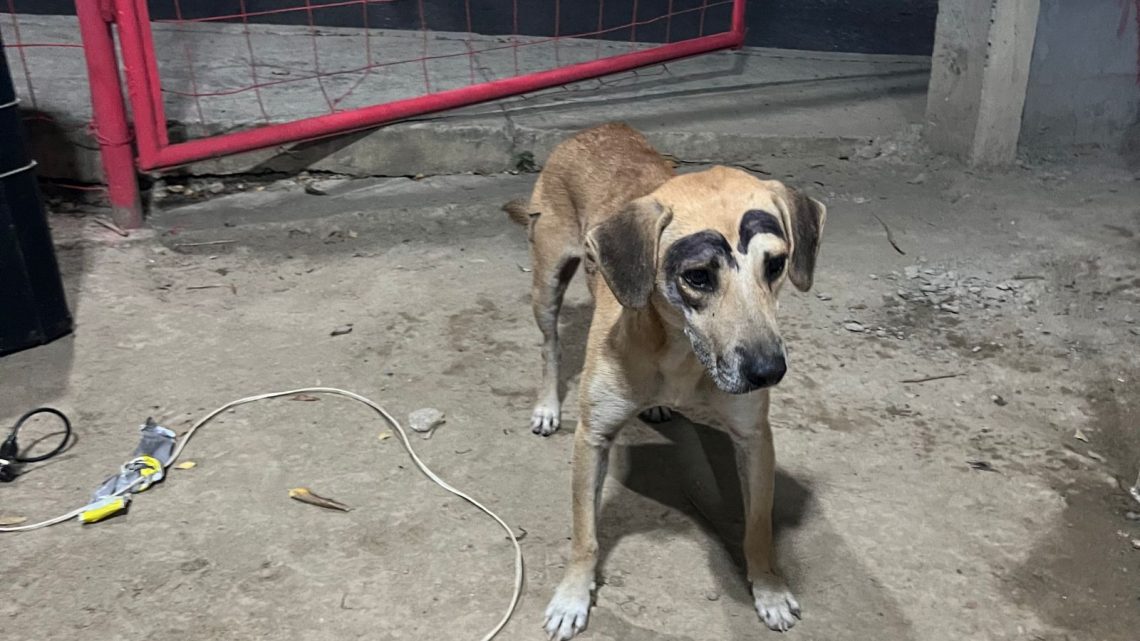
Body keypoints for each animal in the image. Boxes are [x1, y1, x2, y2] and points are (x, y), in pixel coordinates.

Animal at [503, 122, 825, 634]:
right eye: (697, 276)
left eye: (775, 265)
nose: (768, 371)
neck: (681, 354)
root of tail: (598, 128)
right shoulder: (592, 438)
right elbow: (585, 534)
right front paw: (572, 596)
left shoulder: (754, 438)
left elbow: (758, 527)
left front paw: (769, 587)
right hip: (547, 281)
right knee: (549, 346)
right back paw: (547, 406)